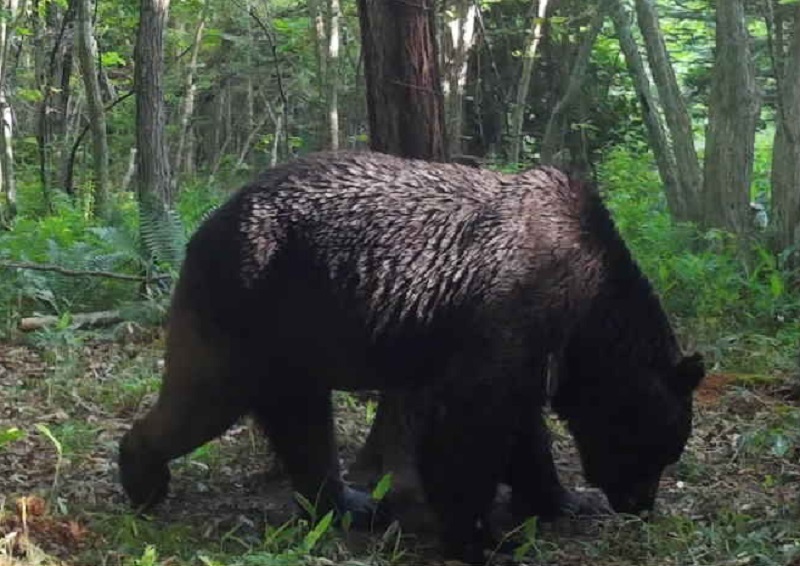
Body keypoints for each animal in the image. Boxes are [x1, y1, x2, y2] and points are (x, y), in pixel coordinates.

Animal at [117, 153, 700, 564]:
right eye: (659, 451)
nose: (639, 504)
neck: (587, 308)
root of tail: (205, 225)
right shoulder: (511, 309)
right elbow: (469, 426)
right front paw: (482, 540)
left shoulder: (530, 349)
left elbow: (521, 428)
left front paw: (562, 500)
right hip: (249, 304)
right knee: (205, 398)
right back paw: (142, 477)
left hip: (295, 337)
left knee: (302, 423)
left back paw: (350, 503)